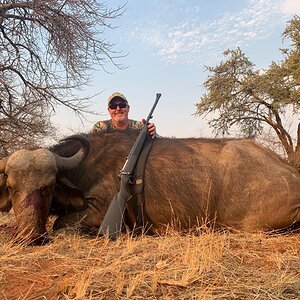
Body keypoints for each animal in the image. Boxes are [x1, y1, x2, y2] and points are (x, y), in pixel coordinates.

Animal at [0, 129, 300, 244]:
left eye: (48, 187)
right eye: (12, 187)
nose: (28, 237)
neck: (85, 164)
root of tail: (291, 174)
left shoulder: (98, 211)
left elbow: (60, 224)